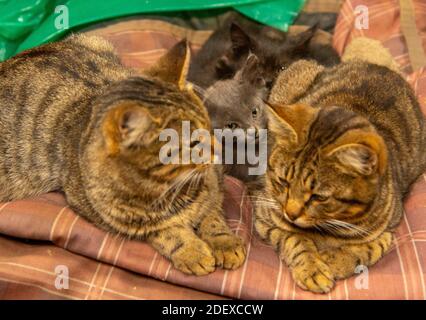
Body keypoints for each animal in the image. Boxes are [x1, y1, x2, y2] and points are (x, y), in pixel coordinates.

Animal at [0, 35, 246, 276]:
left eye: (208, 125)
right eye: (193, 143)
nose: (220, 151)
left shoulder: (216, 186)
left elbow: (212, 216)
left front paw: (225, 243)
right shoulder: (119, 221)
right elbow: (166, 233)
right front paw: (192, 252)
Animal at [255, 60, 426, 292]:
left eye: (319, 196)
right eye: (283, 182)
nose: (290, 214)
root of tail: (380, 67)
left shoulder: (388, 230)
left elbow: (366, 249)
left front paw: (336, 261)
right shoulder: (265, 216)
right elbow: (294, 240)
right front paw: (312, 268)